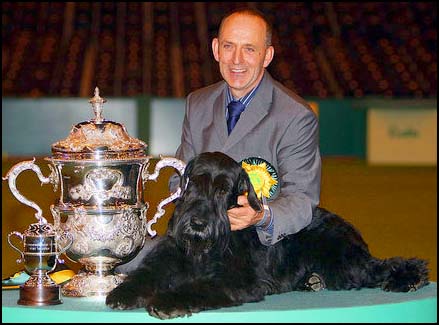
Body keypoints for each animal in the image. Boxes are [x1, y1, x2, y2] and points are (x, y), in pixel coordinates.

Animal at [106, 151, 430, 318]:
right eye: (193, 183)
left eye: (223, 190)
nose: (197, 224)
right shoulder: (169, 260)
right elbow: (147, 274)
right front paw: (124, 292)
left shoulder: (236, 279)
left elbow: (198, 286)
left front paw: (167, 302)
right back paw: (311, 281)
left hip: (344, 262)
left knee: (380, 267)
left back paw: (410, 278)